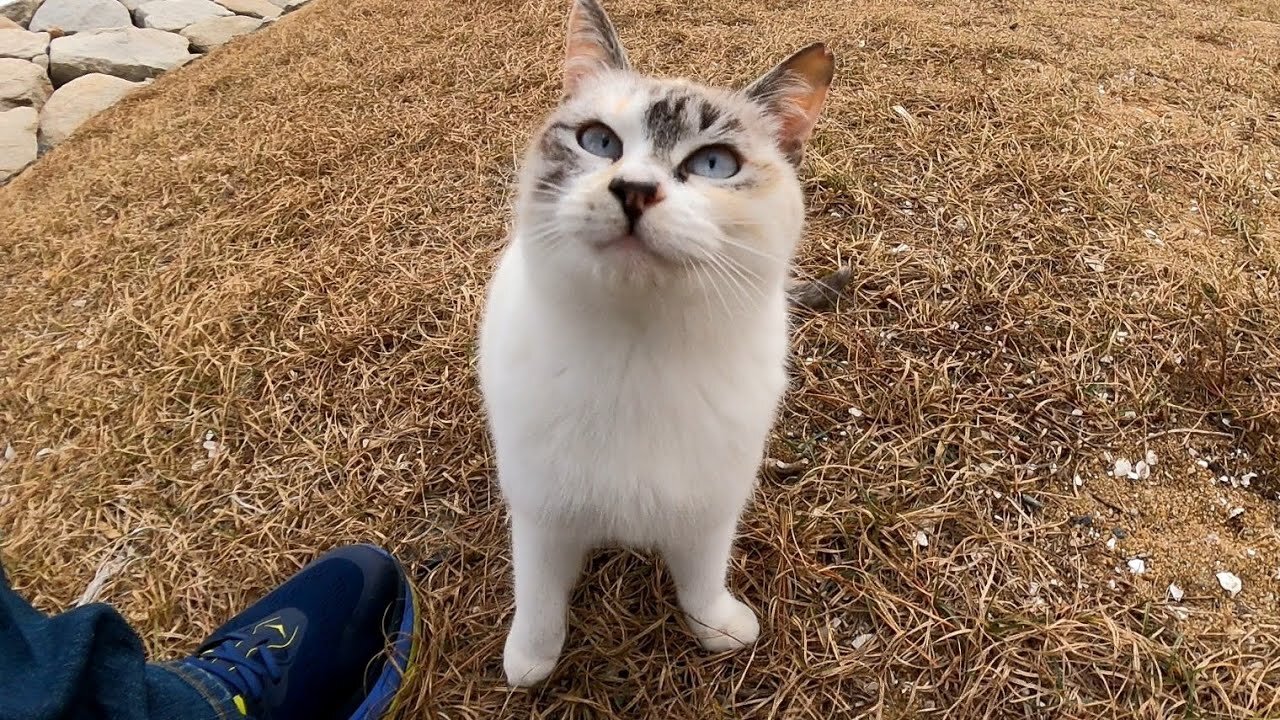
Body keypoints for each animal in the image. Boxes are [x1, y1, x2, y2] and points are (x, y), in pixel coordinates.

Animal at [476, 0, 834, 681]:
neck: (635, 354)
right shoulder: (541, 511)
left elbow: (700, 580)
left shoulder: (709, 509)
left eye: (715, 164)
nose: (634, 189)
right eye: (599, 142)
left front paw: (717, 631)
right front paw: (531, 661)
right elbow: (538, 590)